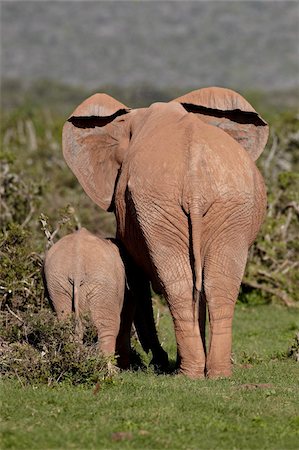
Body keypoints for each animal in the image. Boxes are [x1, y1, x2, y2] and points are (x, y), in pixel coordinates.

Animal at [63, 86, 270, 378]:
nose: (155, 359)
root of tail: (194, 179)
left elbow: (134, 276)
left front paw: (152, 362)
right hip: (211, 204)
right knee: (213, 283)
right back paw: (210, 373)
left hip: (176, 204)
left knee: (186, 283)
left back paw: (191, 372)